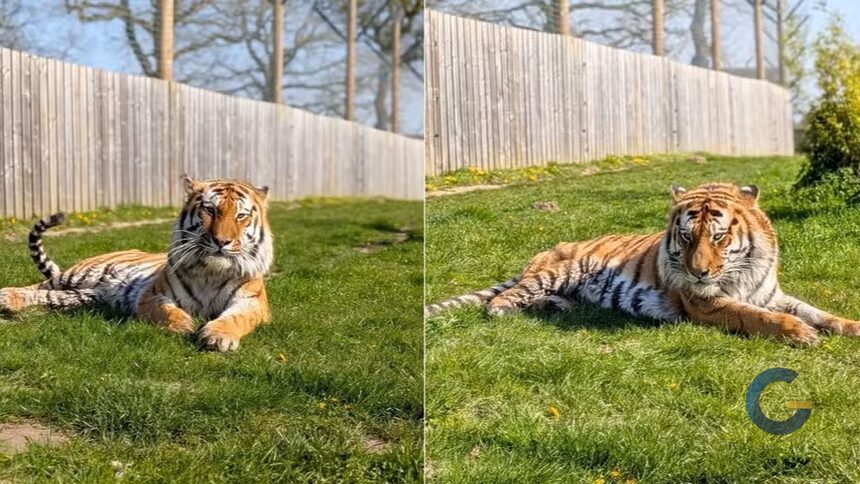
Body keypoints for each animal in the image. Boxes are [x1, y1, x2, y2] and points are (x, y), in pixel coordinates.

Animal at [0, 176, 273, 352]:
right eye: (210, 210)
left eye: (241, 215)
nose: (221, 241)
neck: (212, 272)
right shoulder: (153, 295)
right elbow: (168, 311)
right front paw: (183, 326)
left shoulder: (252, 303)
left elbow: (235, 319)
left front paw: (218, 336)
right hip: (79, 275)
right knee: (38, 285)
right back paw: (7, 296)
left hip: (84, 296)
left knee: (48, 296)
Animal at [425, 182, 860, 346]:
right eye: (687, 237)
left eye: (718, 237)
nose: (699, 272)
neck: (744, 270)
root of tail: (547, 250)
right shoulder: (706, 304)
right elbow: (756, 317)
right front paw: (799, 333)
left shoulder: (771, 294)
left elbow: (817, 312)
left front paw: (849, 326)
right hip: (558, 270)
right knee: (502, 299)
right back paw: (508, 311)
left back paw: (560, 306)